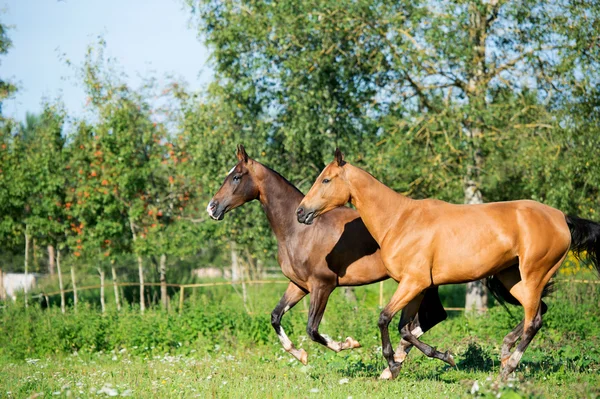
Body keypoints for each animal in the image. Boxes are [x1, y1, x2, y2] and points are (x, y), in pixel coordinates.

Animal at [209, 147, 448, 368]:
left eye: (236, 177)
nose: (212, 208)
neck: (299, 231)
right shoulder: (299, 285)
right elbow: (276, 317)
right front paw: (300, 354)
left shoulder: (323, 286)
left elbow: (312, 330)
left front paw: (348, 343)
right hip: (423, 285)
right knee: (432, 317)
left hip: (418, 284)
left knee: (428, 319)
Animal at [296, 148, 600, 380]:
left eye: (326, 180)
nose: (301, 212)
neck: (400, 220)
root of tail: (561, 218)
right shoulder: (416, 286)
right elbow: (405, 329)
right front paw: (441, 357)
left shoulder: (414, 283)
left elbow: (385, 319)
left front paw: (395, 364)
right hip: (512, 277)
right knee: (537, 313)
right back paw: (504, 352)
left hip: (534, 273)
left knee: (533, 321)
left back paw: (508, 368)